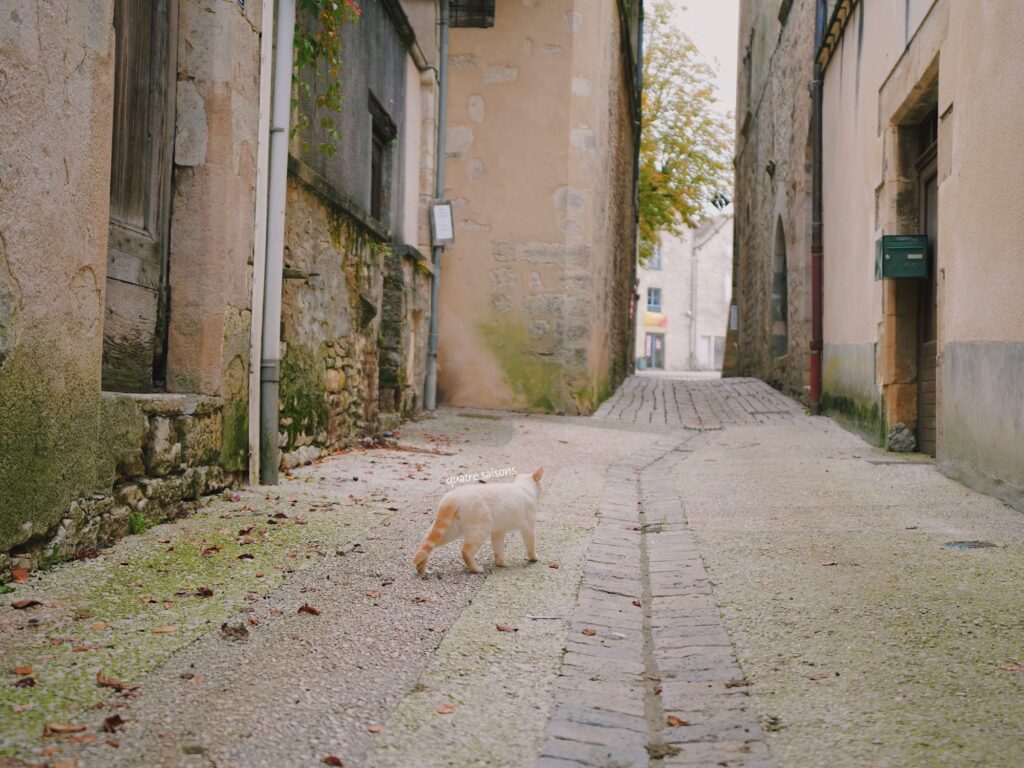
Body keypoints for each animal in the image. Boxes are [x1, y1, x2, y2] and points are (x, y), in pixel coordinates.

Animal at [413, 466, 548, 573]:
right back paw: (476, 569)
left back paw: (420, 567)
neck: (523, 488)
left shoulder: (498, 532)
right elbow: (531, 545)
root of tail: (452, 497)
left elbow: (498, 549)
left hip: (449, 532)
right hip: (479, 531)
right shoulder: (529, 528)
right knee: (465, 551)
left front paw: (501, 563)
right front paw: (534, 558)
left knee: (425, 544)